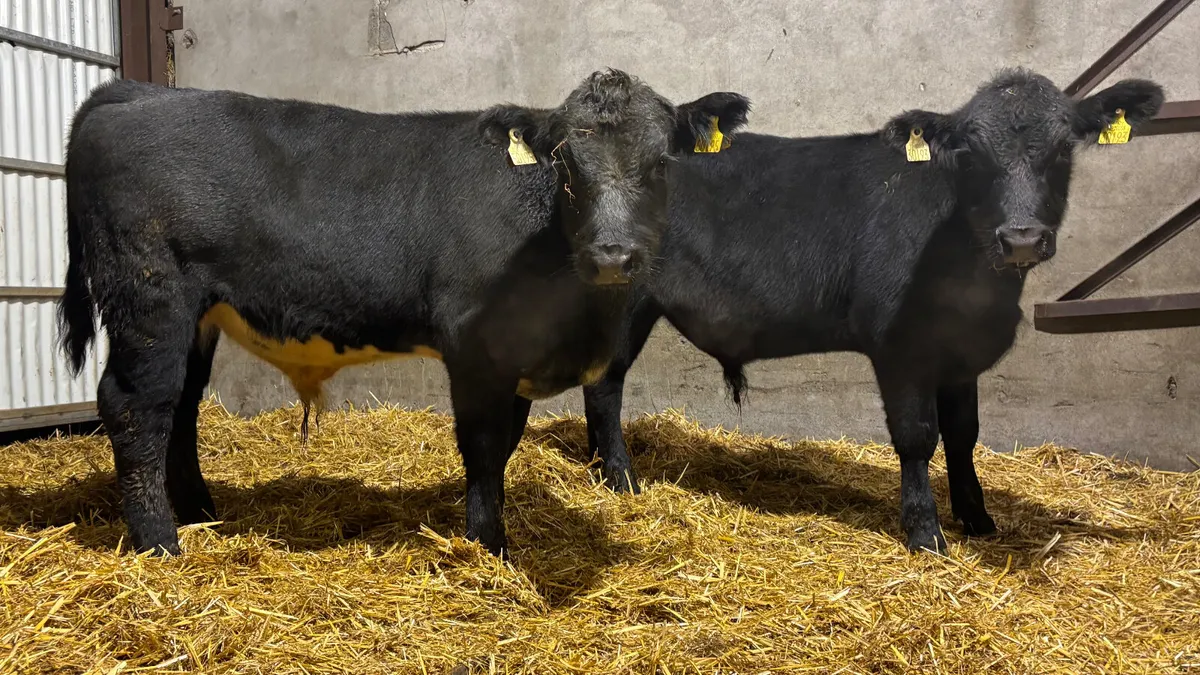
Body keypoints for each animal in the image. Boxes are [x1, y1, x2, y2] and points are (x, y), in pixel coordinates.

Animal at [57, 70, 752, 557]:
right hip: (150, 299)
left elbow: (505, 446)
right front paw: (488, 546)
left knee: (180, 405)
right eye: (564, 164)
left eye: (661, 163)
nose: (613, 254)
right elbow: (482, 445)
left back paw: (203, 513)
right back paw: (161, 543)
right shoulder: (474, 347)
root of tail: (135, 91)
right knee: (136, 406)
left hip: (195, 317)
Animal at [580, 68, 1164, 554]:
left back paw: (595, 465)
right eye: (973, 157)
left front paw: (977, 517)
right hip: (626, 302)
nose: (1021, 238)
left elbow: (964, 432)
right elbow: (918, 436)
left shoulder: (961, 354)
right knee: (606, 386)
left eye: (1063, 150)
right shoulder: (901, 350)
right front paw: (925, 532)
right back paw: (619, 477)